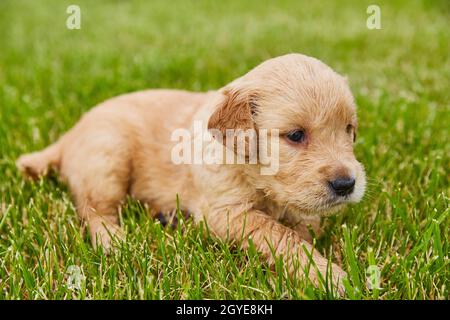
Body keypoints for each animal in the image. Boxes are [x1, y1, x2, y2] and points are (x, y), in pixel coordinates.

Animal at [15, 53, 366, 292]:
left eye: (349, 129)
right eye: (295, 135)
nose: (346, 184)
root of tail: (69, 134)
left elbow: (304, 226)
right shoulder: (225, 213)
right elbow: (281, 236)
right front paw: (328, 275)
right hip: (107, 155)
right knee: (93, 210)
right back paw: (115, 241)